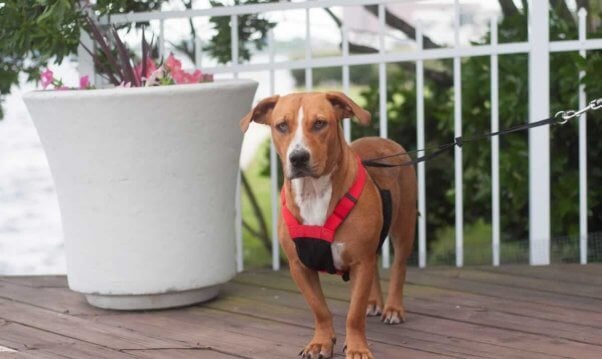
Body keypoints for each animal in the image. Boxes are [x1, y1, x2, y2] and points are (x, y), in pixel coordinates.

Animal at [241, 91, 414, 358]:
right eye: (281, 126)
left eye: (320, 123)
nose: (298, 157)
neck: (313, 191)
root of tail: (384, 140)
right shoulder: (299, 266)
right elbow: (319, 309)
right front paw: (321, 342)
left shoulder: (360, 260)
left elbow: (353, 314)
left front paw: (357, 347)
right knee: (374, 267)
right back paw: (373, 302)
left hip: (404, 227)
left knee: (399, 267)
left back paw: (393, 308)